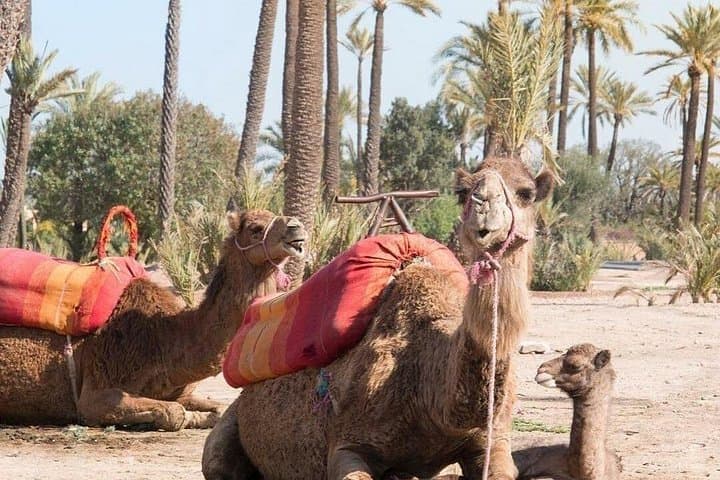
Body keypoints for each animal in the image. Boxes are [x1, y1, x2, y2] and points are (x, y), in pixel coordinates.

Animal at [0, 209, 306, 431]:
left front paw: (202, 417)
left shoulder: (177, 390)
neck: (164, 336)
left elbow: (215, 409)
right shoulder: (95, 392)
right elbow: (174, 413)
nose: (297, 228)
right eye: (255, 228)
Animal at [202, 156, 553, 480]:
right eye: (463, 191)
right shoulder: (349, 443)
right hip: (228, 426)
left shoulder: (491, 443)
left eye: (527, 193)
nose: (484, 207)